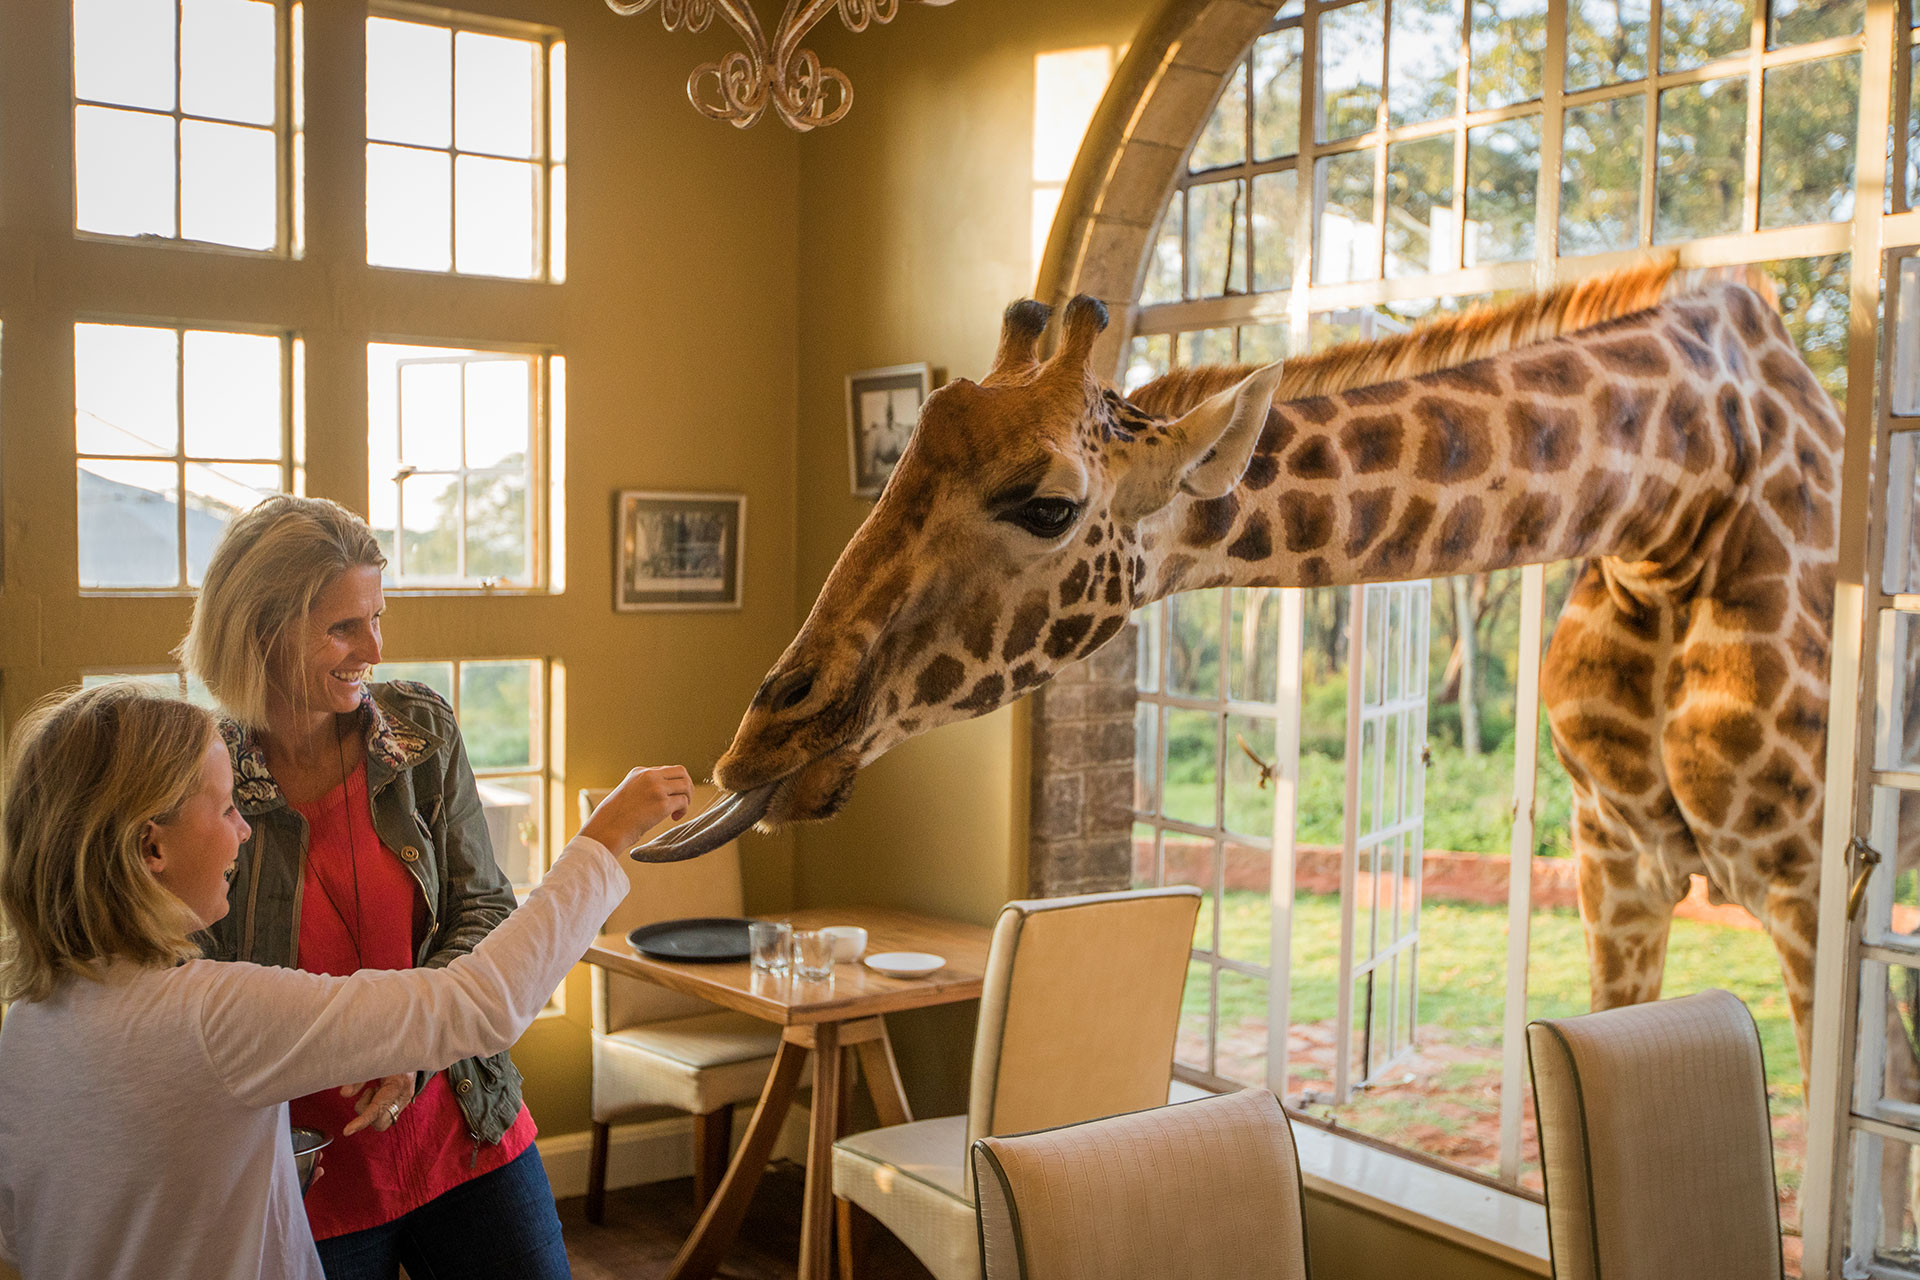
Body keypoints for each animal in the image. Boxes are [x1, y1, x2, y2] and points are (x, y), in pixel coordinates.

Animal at [656, 264, 1843, 1074]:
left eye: (1047, 505)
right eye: (897, 459)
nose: (761, 740)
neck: (1681, 492)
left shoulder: (1806, 879)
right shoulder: (1618, 861)